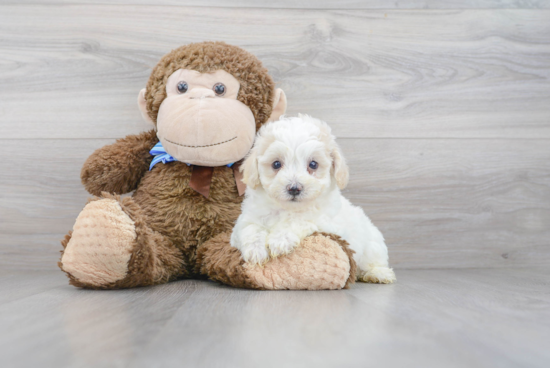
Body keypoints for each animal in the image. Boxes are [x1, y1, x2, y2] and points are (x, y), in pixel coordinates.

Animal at [232, 116, 396, 284]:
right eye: (276, 164)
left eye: (313, 164)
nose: (294, 188)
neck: (287, 209)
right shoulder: (245, 221)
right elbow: (251, 229)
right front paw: (255, 251)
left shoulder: (326, 222)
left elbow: (299, 221)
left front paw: (280, 240)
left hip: (373, 245)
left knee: (374, 261)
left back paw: (378, 274)